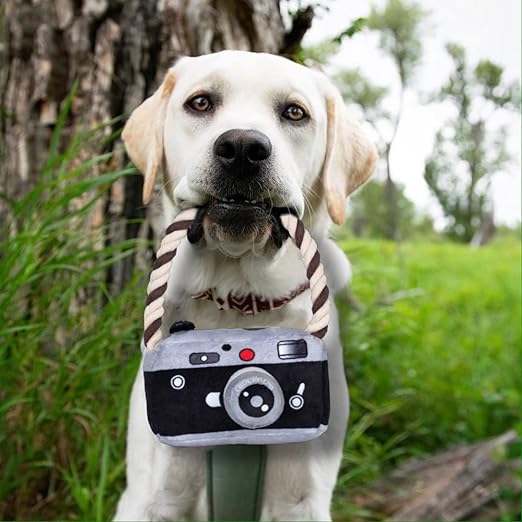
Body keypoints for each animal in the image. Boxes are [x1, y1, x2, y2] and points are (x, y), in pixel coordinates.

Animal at [114, 49, 374, 520]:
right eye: (200, 102)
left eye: (295, 113)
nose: (241, 148)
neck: (239, 302)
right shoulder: (152, 496)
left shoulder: (302, 499)